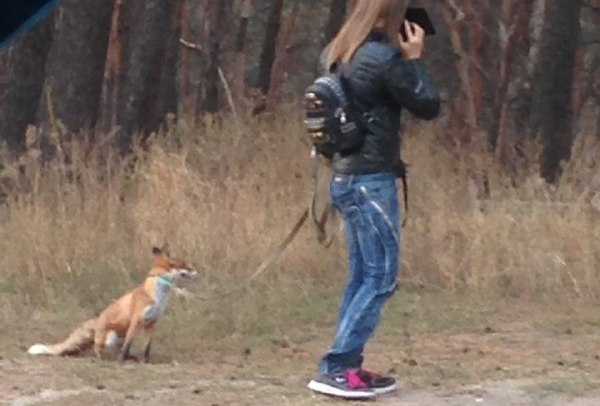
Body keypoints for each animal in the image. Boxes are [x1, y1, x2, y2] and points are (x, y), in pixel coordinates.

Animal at [27, 246, 197, 364]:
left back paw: (130, 358)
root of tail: (95, 322)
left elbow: (147, 348)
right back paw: (106, 358)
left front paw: (147, 361)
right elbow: (128, 345)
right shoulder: (136, 321)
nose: (196, 270)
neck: (157, 295)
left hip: (117, 338)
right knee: (99, 348)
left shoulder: (151, 323)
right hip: (110, 337)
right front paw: (122, 361)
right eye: (184, 265)